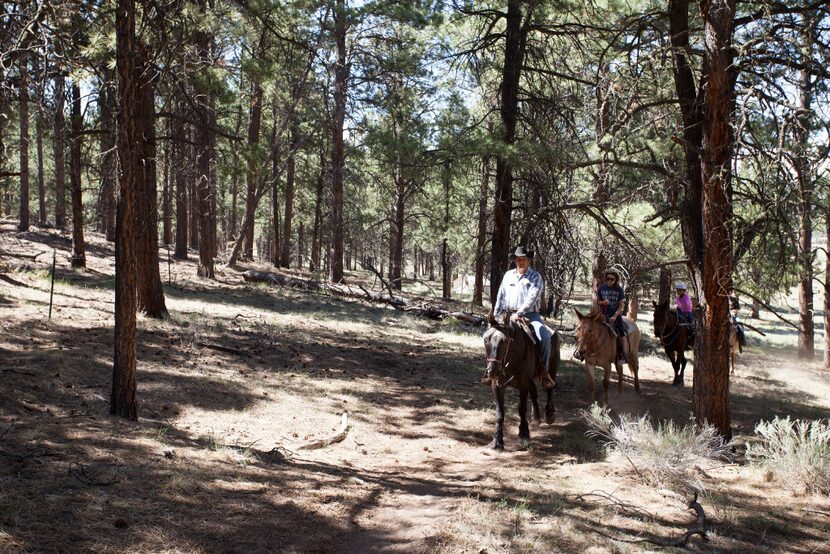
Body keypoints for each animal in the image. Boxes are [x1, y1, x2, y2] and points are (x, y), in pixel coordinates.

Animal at [480, 310, 560, 448]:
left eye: (504, 341)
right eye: (486, 339)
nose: (492, 371)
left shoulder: (523, 385)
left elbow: (522, 408)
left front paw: (523, 435)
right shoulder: (497, 385)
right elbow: (500, 412)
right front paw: (497, 441)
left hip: (552, 369)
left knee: (550, 388)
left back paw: (549, 415)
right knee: (534, 391)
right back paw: (536, 418)